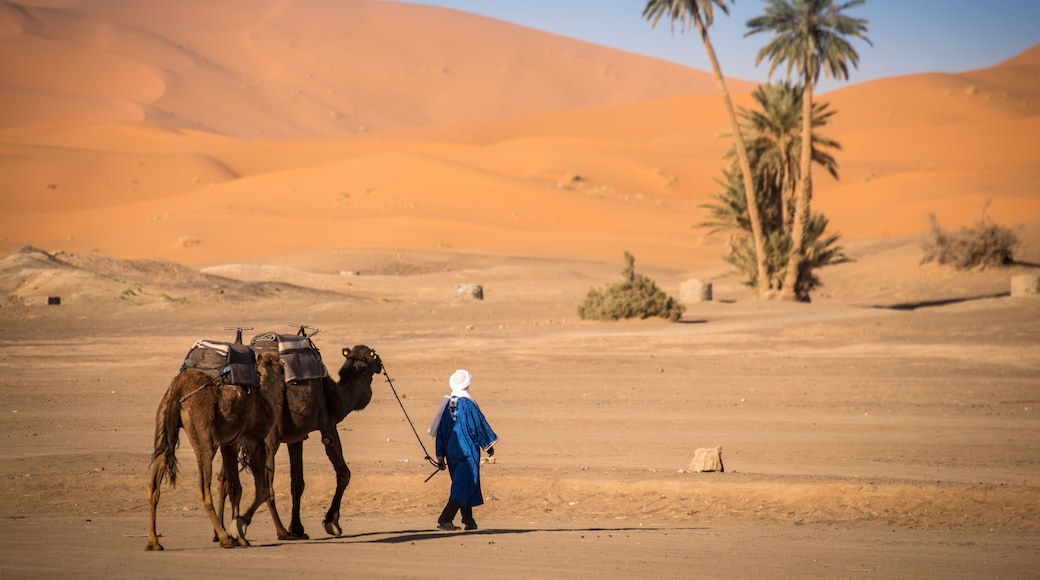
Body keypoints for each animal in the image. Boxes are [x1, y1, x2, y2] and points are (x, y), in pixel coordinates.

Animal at [144, 347, 280, 552]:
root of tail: (178, 388)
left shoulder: (230, 442)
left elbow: (235, 487)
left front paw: (240, 535)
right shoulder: (254, 437)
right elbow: (262, 490)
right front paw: (239, 528)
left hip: (162, 426)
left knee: (154, 485)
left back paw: (153, 542)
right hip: (205, 439)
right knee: (203, 490)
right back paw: (224, 538)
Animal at [233, 340, 380, 540]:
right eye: (373, 355)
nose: (380, 364)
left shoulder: (296, 438)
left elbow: (297, 482)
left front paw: (298, 528)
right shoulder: (328, 426)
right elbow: (344, 473)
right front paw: (332, 522)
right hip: (269, 437)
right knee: (267, 485)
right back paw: (279, 531)